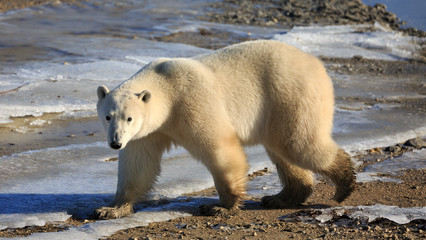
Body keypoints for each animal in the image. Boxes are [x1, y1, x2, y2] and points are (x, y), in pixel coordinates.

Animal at [95, 39, 354, 219]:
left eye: (129, 118)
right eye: (108, 116)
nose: (115, 143)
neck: (166, 86)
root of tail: (315, 62)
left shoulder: (190, 99)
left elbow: (218, 146)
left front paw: (220, 206)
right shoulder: (147, 132)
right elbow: (138, 165)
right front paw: (110, 209)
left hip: (290, 94)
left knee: (300, 145)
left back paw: (344, 184)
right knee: (283, 151)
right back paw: (279, 198)